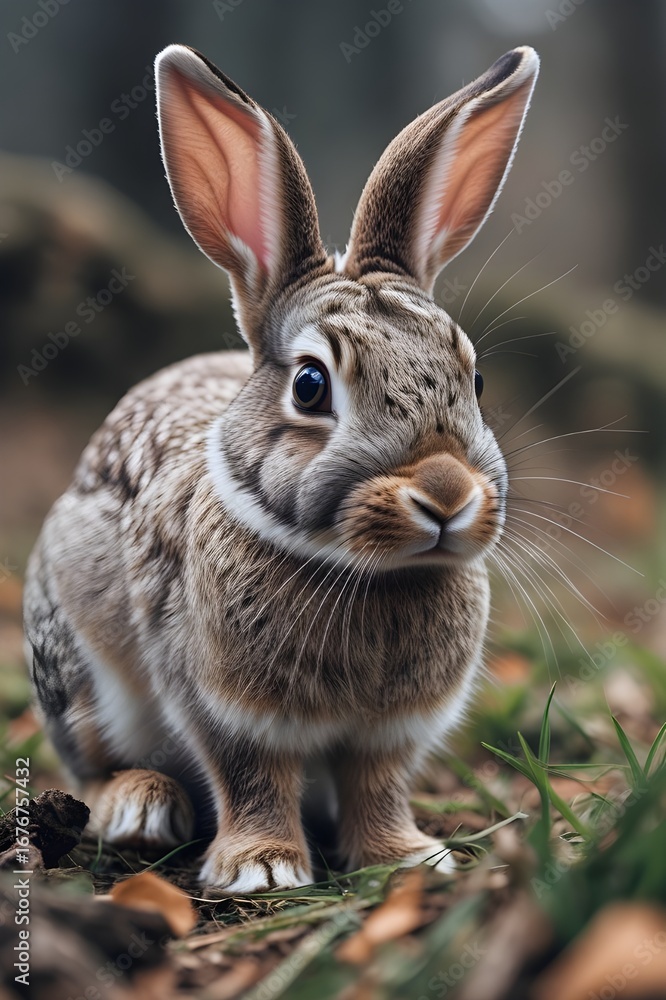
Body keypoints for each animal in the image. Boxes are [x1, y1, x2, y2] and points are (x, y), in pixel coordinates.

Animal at [22, 43, 539, 892]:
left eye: (477, 379)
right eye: (311, 386)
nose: (445, 494)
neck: (364, 570)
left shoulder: (389, 733)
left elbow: (377, 785)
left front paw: (405, 858)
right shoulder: (223, 708)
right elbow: (250, 775)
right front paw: (262, 868)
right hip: (79, 667)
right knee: (93, 764)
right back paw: (141, 807)